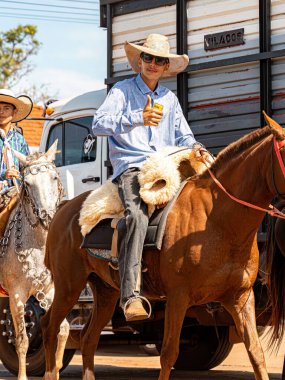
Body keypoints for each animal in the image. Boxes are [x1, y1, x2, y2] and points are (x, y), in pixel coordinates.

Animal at [0, 142, 69, 380]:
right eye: (28, 183)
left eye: (54, 178)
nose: (47, 216)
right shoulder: (17, 295)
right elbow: (22, 340)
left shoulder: (51, 291)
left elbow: (62, 329)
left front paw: (54, 371)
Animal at [41, 116, 284, 380]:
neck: (217, 220)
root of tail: (62, 209)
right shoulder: (178, 296)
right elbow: (169, 353)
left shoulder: (241, 298)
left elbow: (256, 353)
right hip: (68, 286)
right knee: (50, 327)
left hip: (106, 292)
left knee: (88, 338)